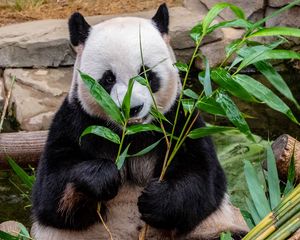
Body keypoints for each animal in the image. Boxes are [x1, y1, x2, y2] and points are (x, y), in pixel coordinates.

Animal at [30, 3, 248, 240]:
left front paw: (156, 200)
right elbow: (51, 193)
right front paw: (103, 176)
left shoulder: (180, 122)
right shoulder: (76, 122)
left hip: (210, 229)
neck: (132, 135)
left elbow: (203, 180)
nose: (131, 108)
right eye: (108, 78)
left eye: (146, 74)